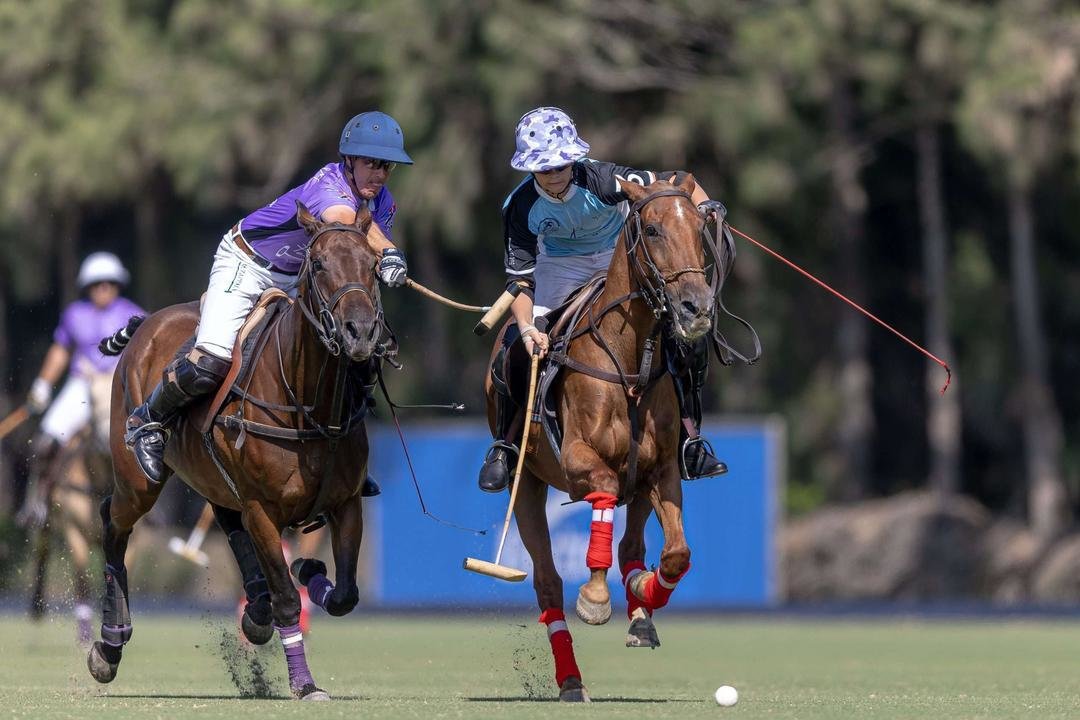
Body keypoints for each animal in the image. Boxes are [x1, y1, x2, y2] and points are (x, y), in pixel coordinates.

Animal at [87, 202, 388, 699]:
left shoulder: (346, 503)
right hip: (138, 481)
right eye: (318, 263)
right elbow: (288, 600)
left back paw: (256, 612)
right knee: (113, 521)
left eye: (374, 265)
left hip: (215, 476)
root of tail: (147, 322)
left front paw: (310, 571)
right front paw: (305, 685)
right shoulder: (263, 509)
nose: (360, 333)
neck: (308, 404)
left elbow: (345, 595)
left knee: (226, 521)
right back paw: (109, 646)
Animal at [486, 175, 721, 703]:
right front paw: (595, 597)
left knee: (631, 545)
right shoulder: (578, 461)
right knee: (548, 583)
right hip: (526, 484)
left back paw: (640, 610)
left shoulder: (662, 468)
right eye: (651, 229)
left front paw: (643, 592)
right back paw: (571, 680)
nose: (697, 309)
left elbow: (676, 554)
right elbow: (603, 495)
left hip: (641, 480)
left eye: (701, 228)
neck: (629, 358)